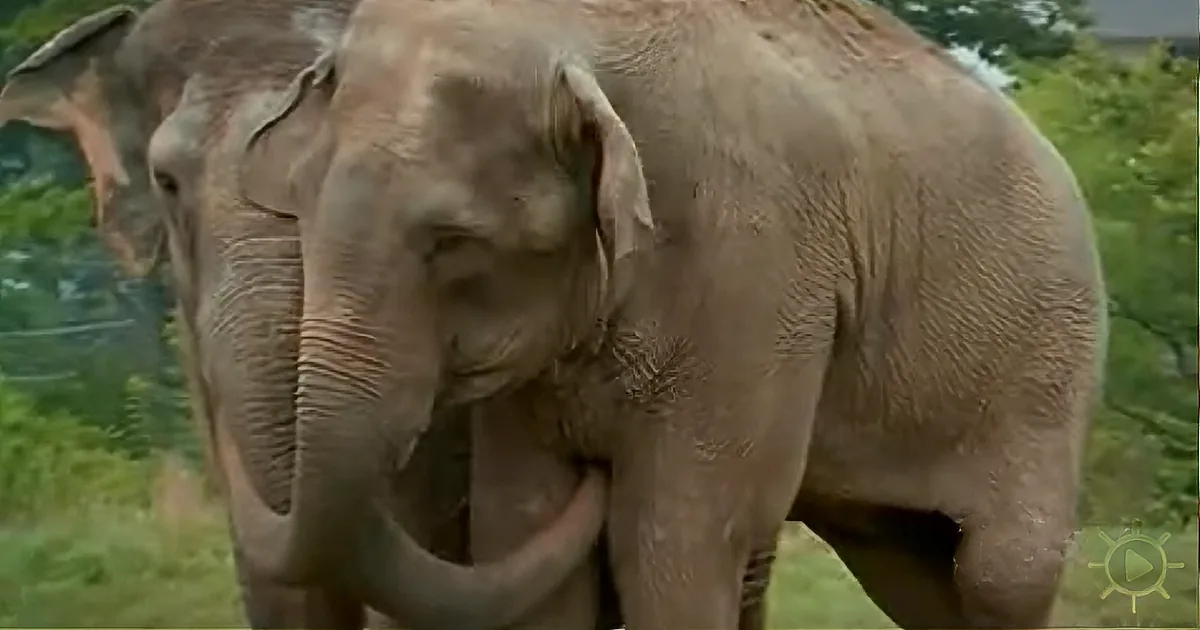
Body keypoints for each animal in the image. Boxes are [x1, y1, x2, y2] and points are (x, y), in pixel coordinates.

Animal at [236, 0, 1108, 628]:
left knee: (999, 573)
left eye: (453, 241)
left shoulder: (753, 276)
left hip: (1044, 368)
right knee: (914, 572)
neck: (576, 32)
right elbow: (522, 527)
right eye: (298, 207)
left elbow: (674, 543)